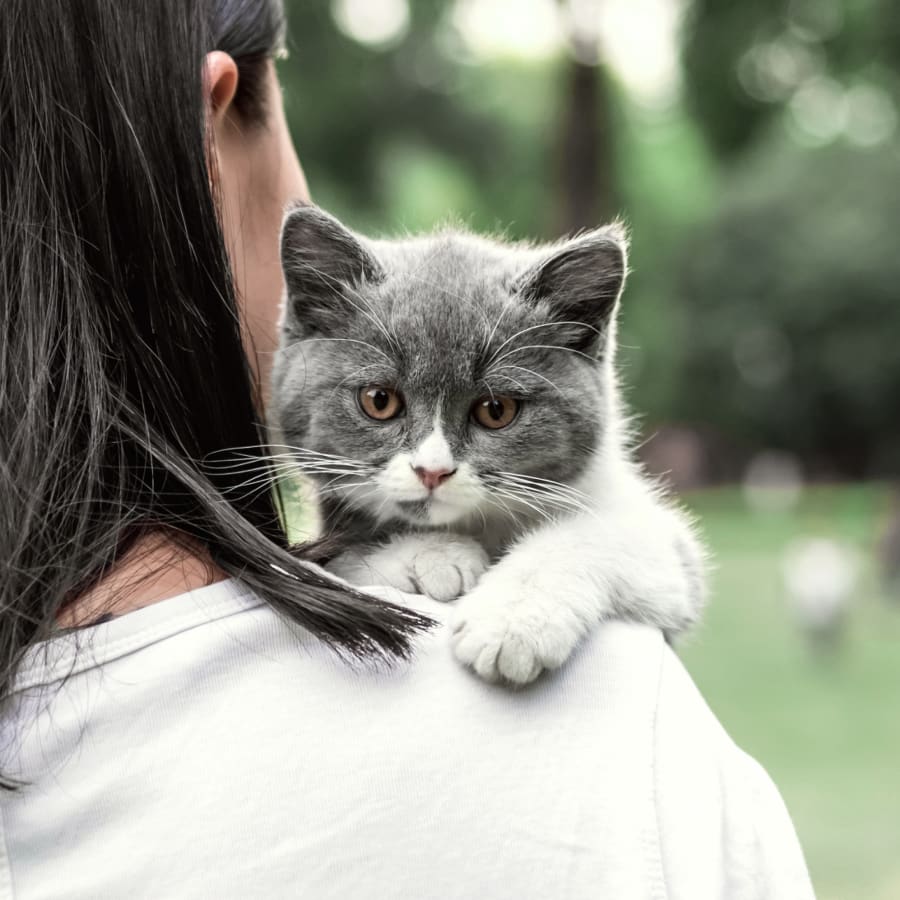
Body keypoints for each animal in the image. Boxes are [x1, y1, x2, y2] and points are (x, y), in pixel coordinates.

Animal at [270, 204, 708, 684]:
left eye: (496, 409)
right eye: (379, 400)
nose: (432, 471)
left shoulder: (672, 557)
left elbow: (604, 534)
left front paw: (512, 622)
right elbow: (338, 559)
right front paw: (436, 556)